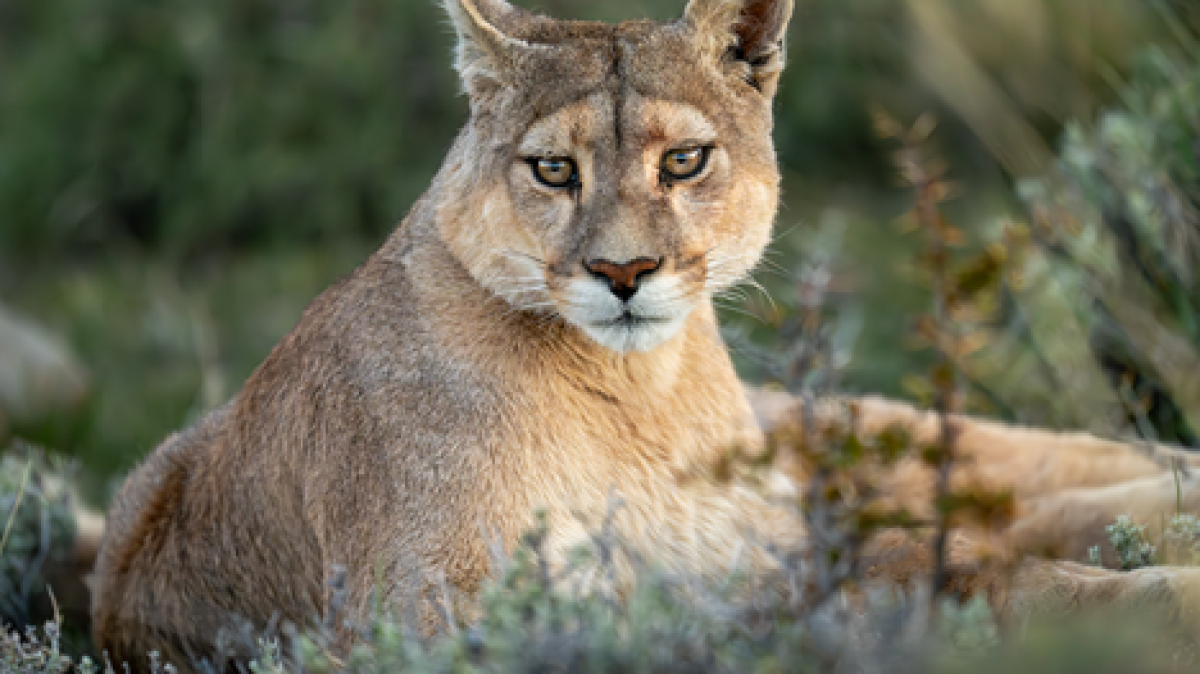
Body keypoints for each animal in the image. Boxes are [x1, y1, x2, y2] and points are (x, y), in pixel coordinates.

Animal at [90, 0, 1200, 669]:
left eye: (683, 160)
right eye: (552, 169)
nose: (624, 273)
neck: (640, 398)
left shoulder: (764, 534)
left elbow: (957, 555)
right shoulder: (437, 608)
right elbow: (940, 572)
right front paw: (1153, 595)